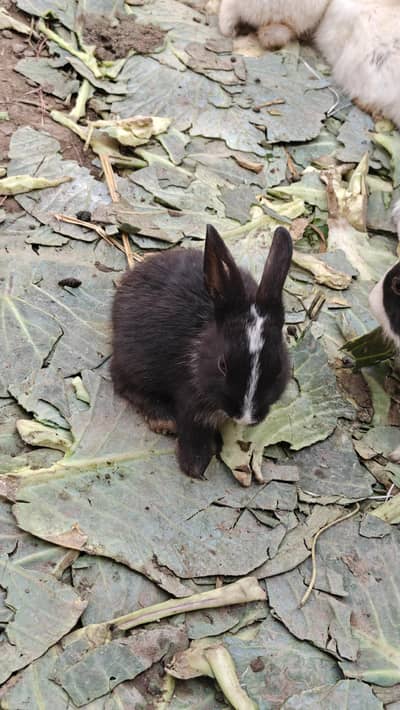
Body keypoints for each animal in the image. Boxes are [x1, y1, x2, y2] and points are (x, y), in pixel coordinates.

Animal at [111, 225, 293, 479]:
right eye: (222, 365)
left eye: (278, 369)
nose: (245, 417)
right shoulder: (191, 400)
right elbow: (194, 432)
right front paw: (195, 468)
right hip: (135, 361)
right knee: (123, 383)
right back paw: (163, 419)